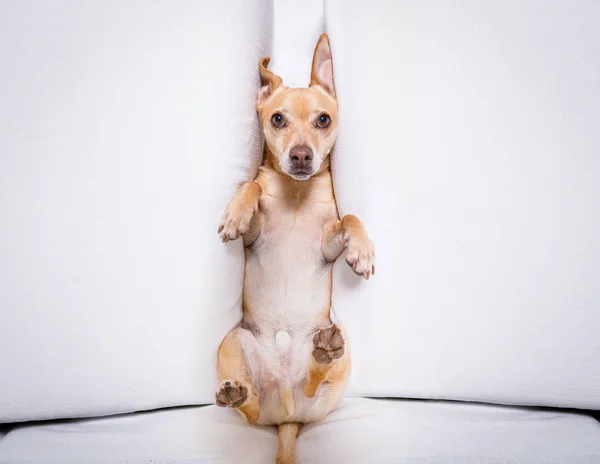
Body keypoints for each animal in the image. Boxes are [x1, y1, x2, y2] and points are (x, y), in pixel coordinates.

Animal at [216, 33, 376, 464]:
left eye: (323, 120)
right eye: (277, 119)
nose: (302, 155)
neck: (297, 193)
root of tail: (286, 416)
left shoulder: (328, 245)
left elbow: (350, 217)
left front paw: (362, 251)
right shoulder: (255, 235)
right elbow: (250, 187)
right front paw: (236, 211)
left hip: (336, 363)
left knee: (311, 384)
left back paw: (322, 354)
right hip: (232, 345)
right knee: (252, 409)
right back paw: (238, 395)